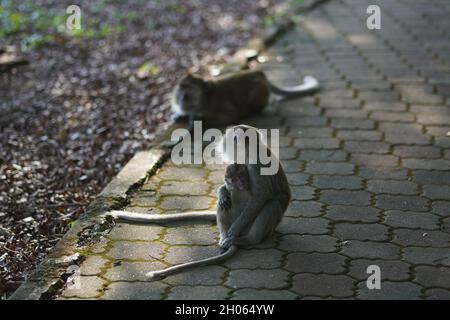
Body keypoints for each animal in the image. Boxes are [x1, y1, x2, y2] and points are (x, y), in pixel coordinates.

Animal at [171, 69, 318, 127]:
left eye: (189, 89)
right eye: (181, 87)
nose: (181, 96)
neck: (205, 100)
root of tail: (258, 72)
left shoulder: (217, 106)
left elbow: (231, 116)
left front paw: (198, 120)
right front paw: (181, 116)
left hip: (259, 90)